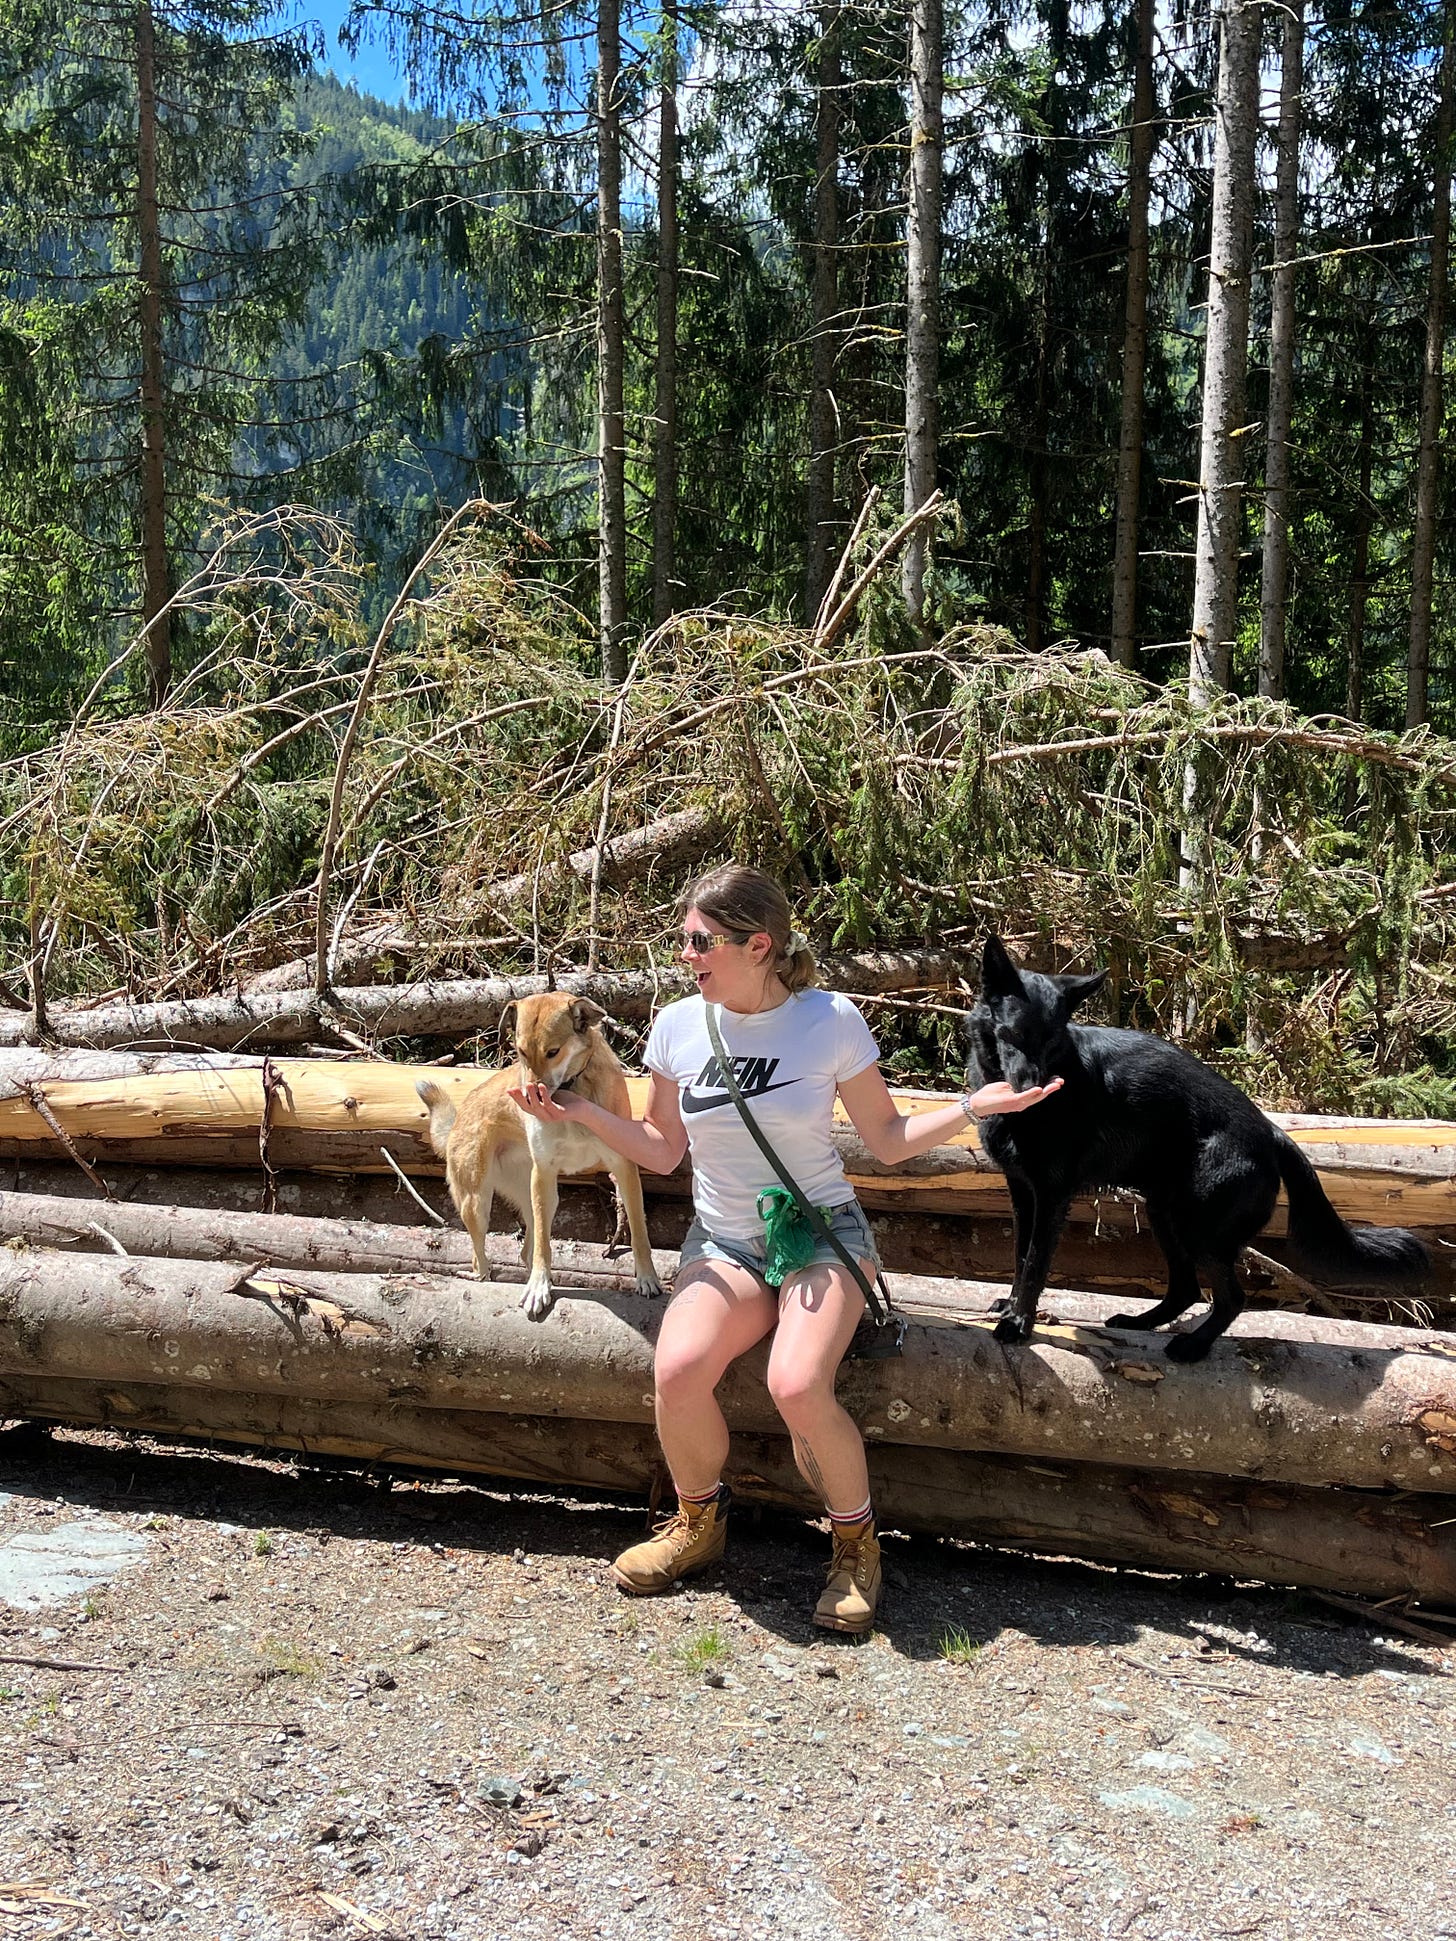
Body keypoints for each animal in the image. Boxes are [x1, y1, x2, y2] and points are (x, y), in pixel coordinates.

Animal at [415, 1001, 667, 1319]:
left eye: (553, 1051)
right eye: (521, 1051)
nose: (529, 1095)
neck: (571, 1089)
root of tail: (460, 1117)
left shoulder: (623, 1167)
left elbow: (639, 1233)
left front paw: (647, 1279)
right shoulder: (545, 1171)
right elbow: (544, 1249)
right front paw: (539, 1288)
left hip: (540, 1198)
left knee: (526, 1250)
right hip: (479, 1203)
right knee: (485, 1258)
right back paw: (486, 1277)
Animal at [962, 931, 1428, 1358]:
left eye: (1052, 1040)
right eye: (1011, 1035)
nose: (1032, 1088)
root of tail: (1271, 1133)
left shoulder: (1052, 1197)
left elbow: (1036, 1264)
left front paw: (1019, 1323)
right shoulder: (1023, 1192)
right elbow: (1021, 1257)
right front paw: (1011, 1306)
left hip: (1196, 1226)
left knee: (1230, 1298)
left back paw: (1193, 1346)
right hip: (1165, 1215)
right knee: (1186, 1289)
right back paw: (1141, 1323)